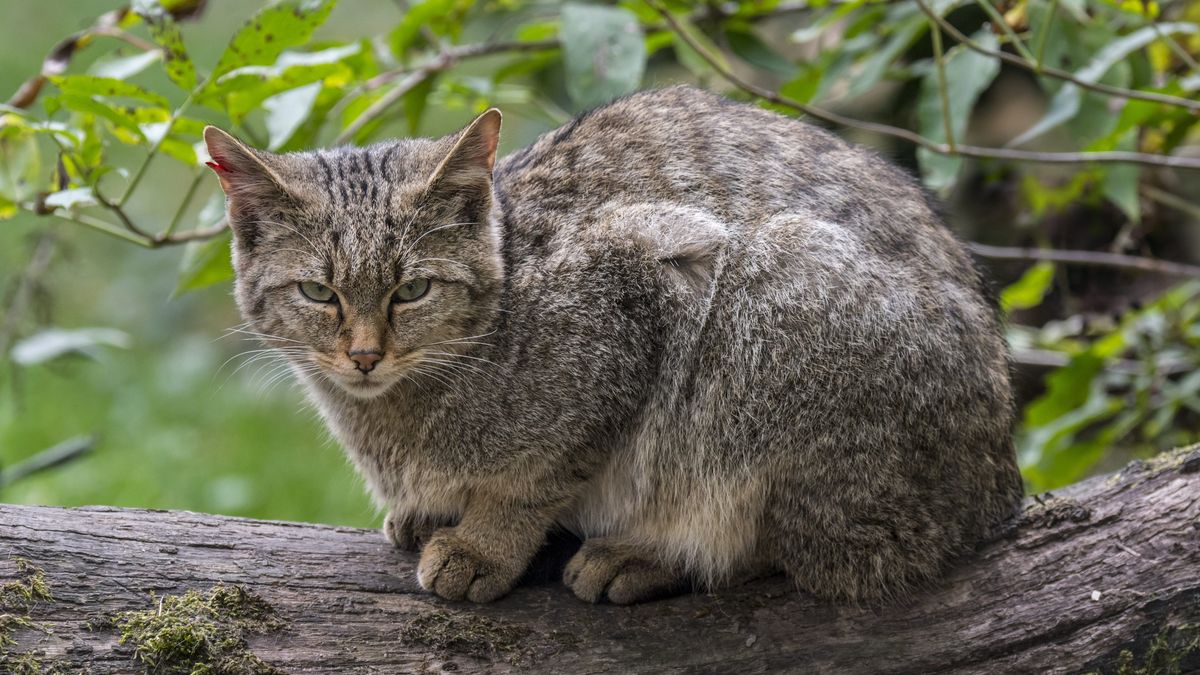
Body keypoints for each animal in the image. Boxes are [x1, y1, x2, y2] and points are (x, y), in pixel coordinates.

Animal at [204, 85, 1022, 605]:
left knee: (804, 546)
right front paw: (433, 512)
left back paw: (645, 555)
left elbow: (540, 471)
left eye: (413, 291)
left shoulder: (645, 280)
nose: (365, 355)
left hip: (778, 289)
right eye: (319, 294)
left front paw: (485, 543)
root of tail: (996, 492)